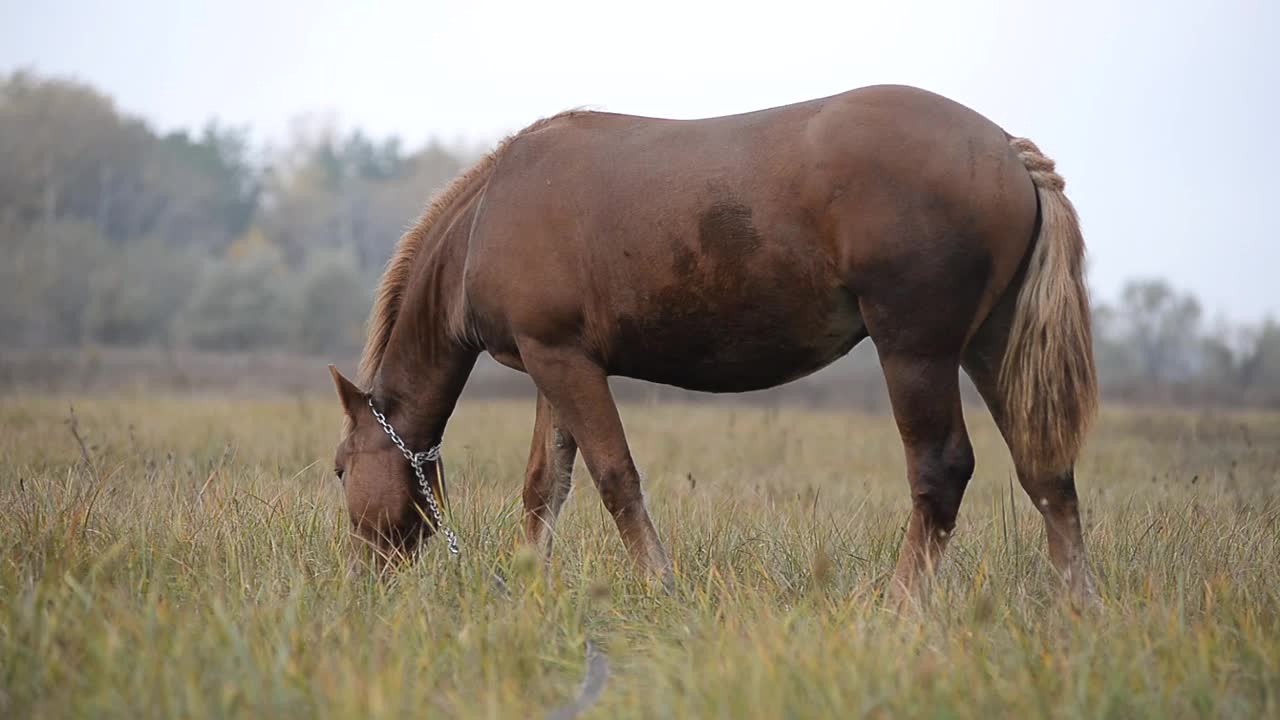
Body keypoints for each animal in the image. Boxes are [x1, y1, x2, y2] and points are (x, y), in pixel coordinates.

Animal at [330, 82, 1100, 599]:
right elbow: (545, 486)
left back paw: (899, 608)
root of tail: (1006, 150)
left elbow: (615, 478)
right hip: (992, 346)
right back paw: (1077, 610)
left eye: (340, 470)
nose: (362, 578)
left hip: (916, 351)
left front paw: (660, 588)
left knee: (941, 473)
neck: (487, 216)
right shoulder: (555, 361)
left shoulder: (564, 362)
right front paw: (530, 589)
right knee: (1046, 473)